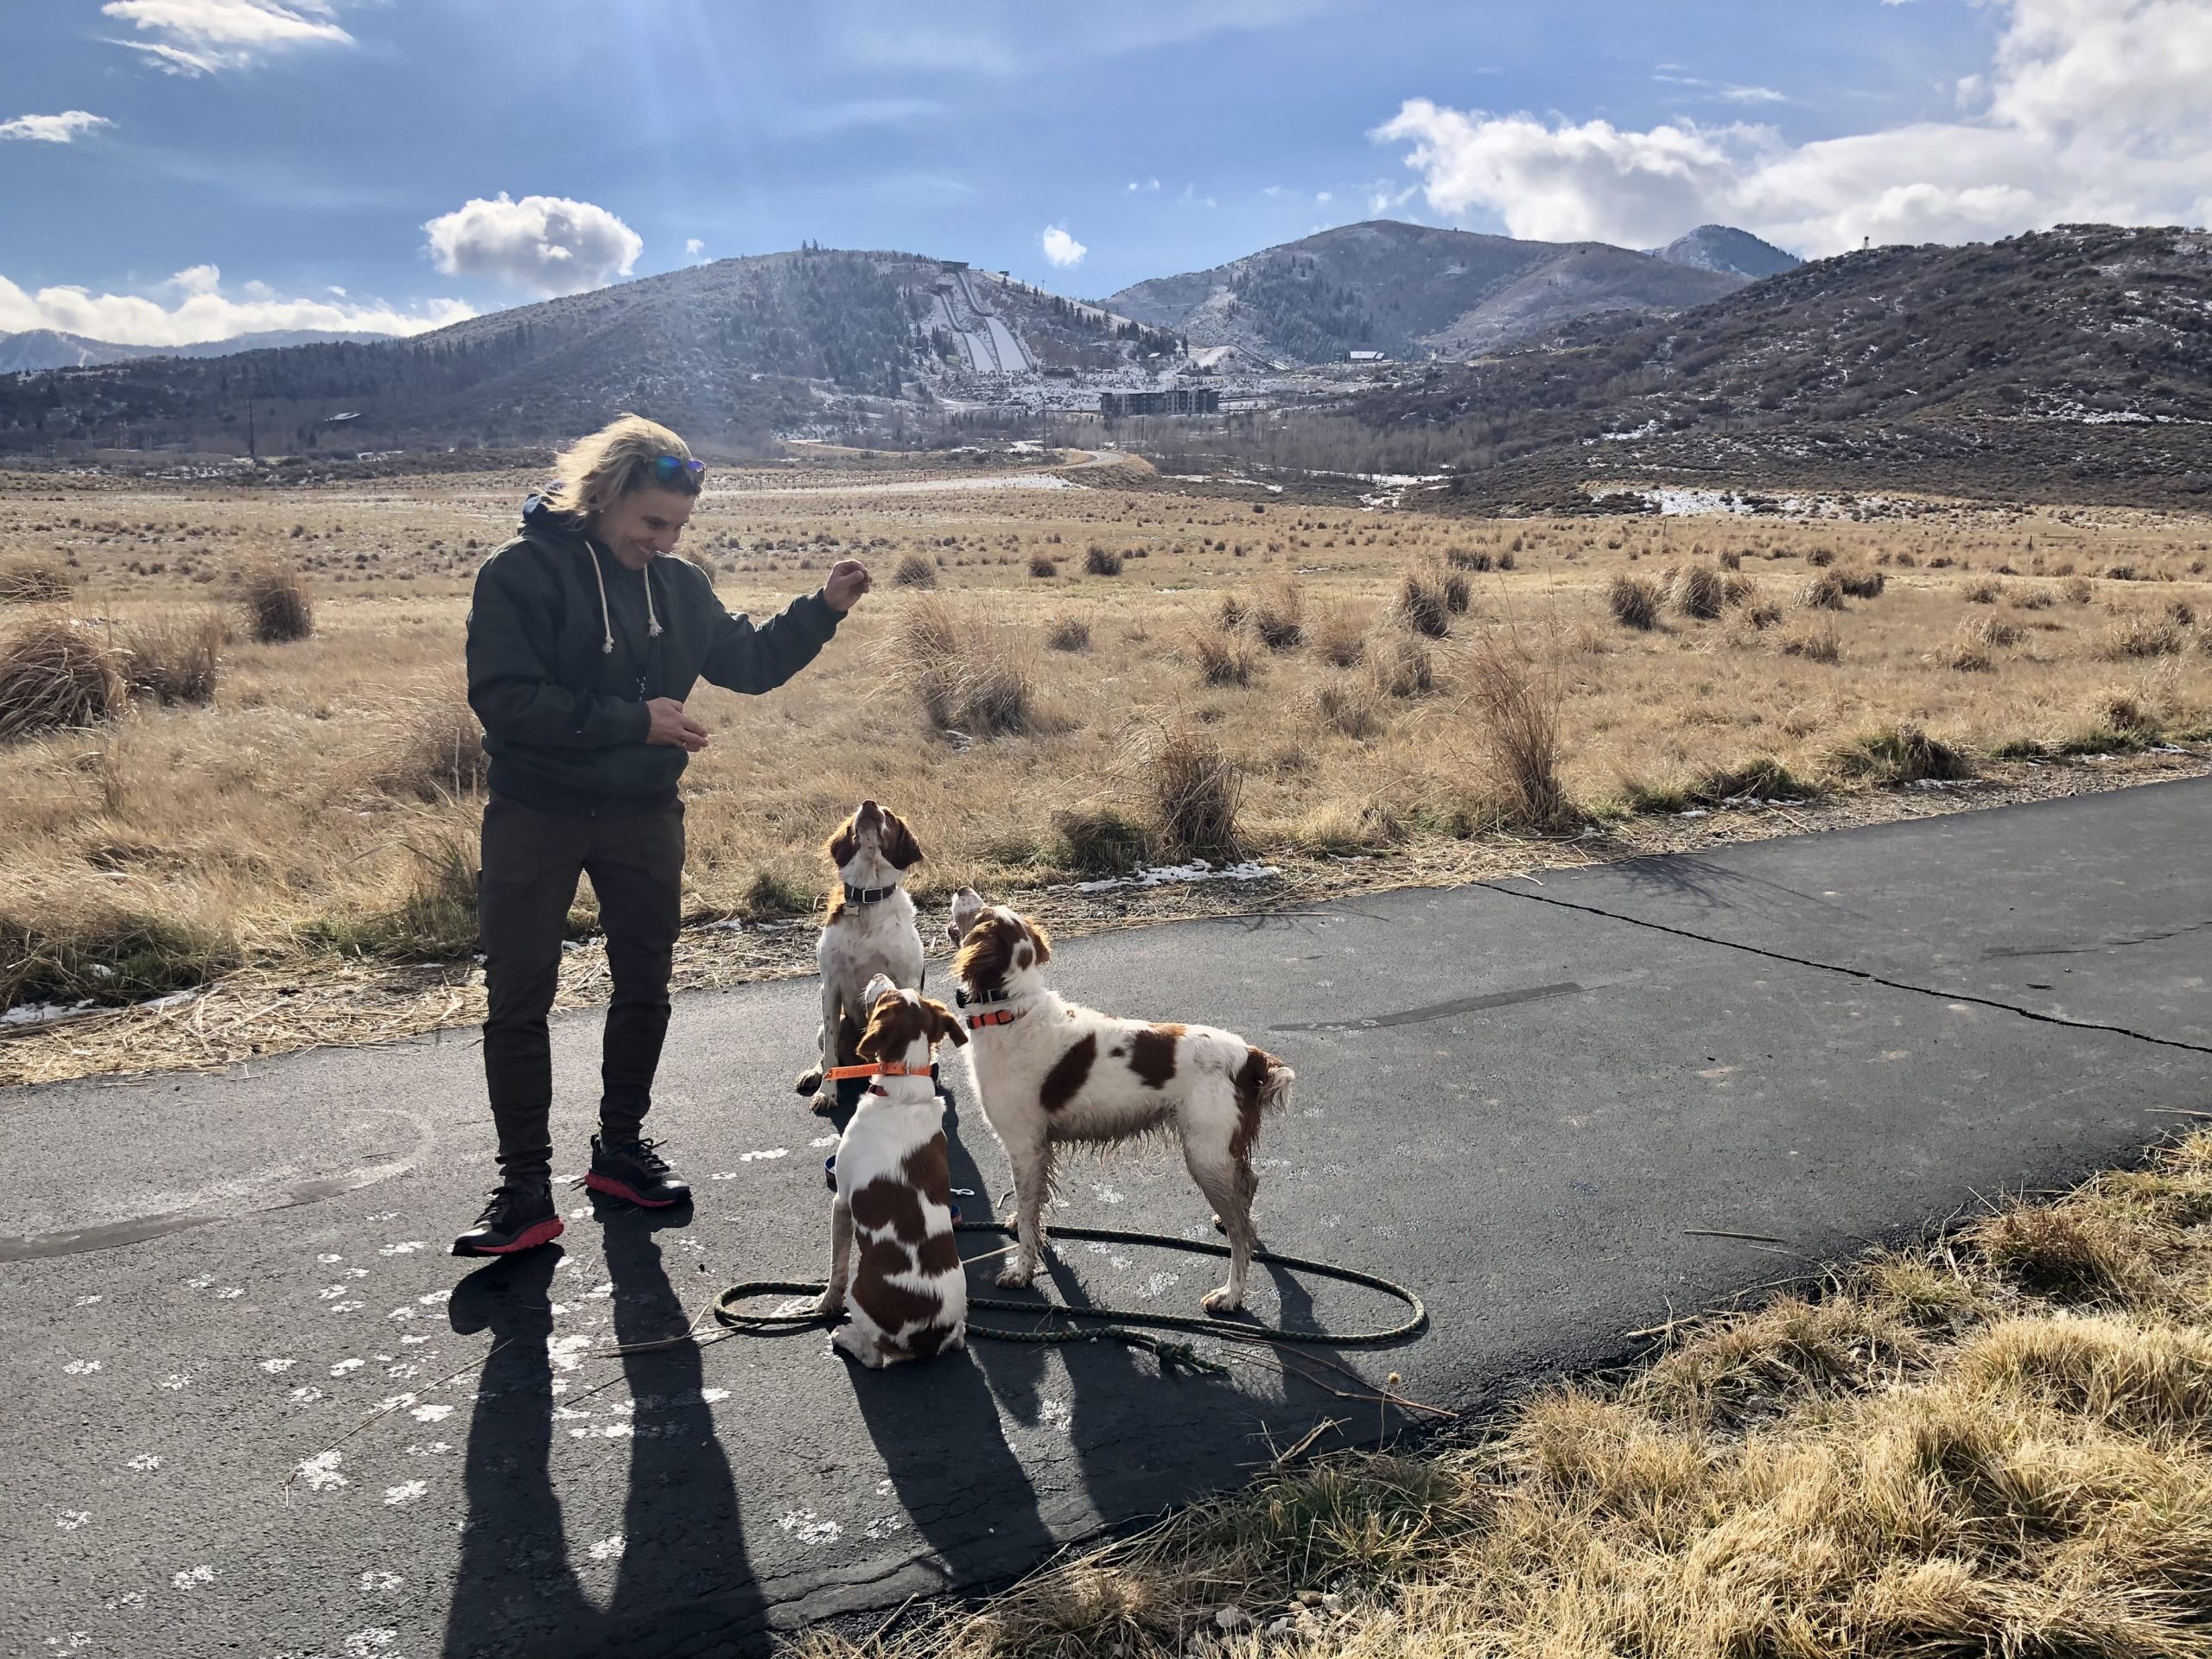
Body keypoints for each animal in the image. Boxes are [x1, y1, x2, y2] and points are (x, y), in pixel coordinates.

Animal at [796, 804, 925, 1119]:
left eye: (888, 815)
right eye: (857, 810)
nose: (868, 804)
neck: (867, 897)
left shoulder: (907, 981)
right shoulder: (828, 987)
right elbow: (830, 1054)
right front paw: (826, 1093)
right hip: (828, 1027)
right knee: (827, 1053)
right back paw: (813, 1074)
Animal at [814, 982, 969, 1371]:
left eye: (885, 997)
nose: (879, 977)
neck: (904, 1088)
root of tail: (927, 1337)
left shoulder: (841, 1201)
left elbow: (836, 1265)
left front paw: (826, 1303)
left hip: (860, 1294)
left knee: (874, 1356)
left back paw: (845, 1337)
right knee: (959, 1335)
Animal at [938, 889, 1292, 1318]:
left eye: (979, 912)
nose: (962, 891)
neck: (1010, 1012)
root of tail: (1249, 1055)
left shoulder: (1025, 1146)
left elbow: (1027, 1217)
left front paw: (1021, 1272)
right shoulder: (1039, 1149)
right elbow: (1031, 1210)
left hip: (1205, 1156)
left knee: (1242, 1236)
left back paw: (1230, 1294)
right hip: (1224, 1152)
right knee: (1249, 1188)